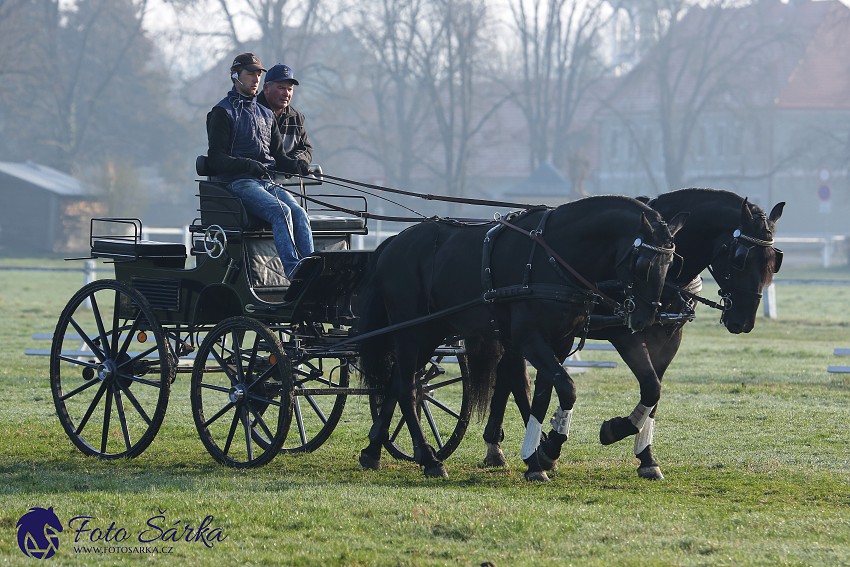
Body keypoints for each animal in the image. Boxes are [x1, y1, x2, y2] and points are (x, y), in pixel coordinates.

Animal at [354, 196, 684, 480]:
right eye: (642, 264)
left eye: (671, 263)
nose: (644, 319)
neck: (555, 256)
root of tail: (393, 242)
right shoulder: (530, 339)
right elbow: (566, 388)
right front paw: (546, 450)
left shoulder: (560, 342)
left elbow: (548, 394)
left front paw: (541, 455)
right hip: (410, 332)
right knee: (408, 389)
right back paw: (428, 458)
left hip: (430, 332)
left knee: (397, 383)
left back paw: (373, 450)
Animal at [476, 190, 780, 480]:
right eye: (740, 258)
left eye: (773, 260)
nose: (743, 321)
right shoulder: (624, 332)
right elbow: (648, 386)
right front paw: (612, 432)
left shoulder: (669, 340)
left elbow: (653, 390)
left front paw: (645, 456)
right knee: (516, 378)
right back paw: (522, 447)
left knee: (509, 378)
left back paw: (507, 447)